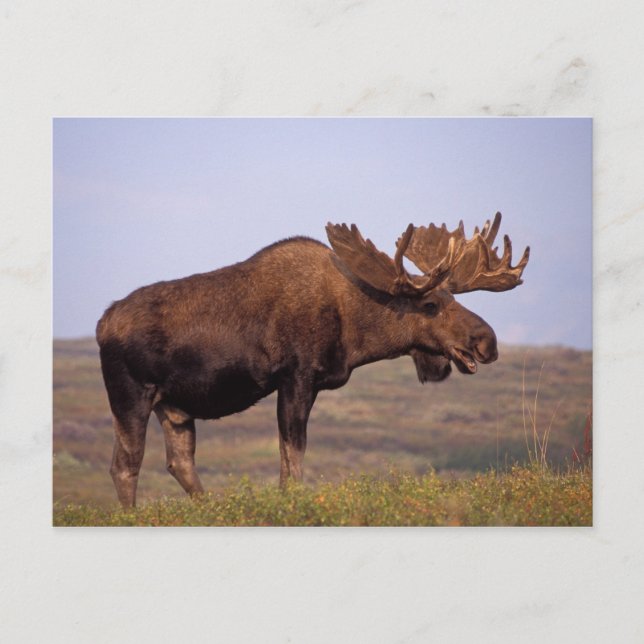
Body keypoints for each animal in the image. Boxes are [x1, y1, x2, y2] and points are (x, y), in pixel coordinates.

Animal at [96, 212, 529, 506]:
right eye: (430, 304)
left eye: (454, 298)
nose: (487, 342)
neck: (354, 329)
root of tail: (102, 323)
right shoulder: (296, 377)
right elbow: (293, 454)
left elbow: (288, 457)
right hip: (130, 395)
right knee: (125, 465)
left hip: (174, 407)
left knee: (179, 462)